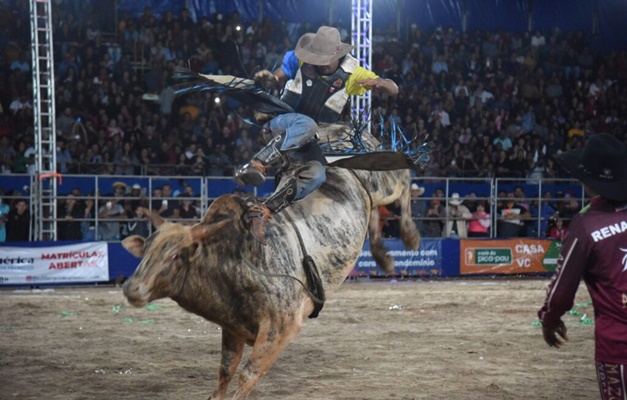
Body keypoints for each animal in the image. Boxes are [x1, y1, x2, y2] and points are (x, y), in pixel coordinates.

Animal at [122, 166, 420, 400]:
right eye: (145, 250)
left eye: (176, 255)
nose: (131, 288)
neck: (238, 257)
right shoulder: (233, 326)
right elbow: (225, 371)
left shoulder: (281, 326)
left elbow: (248, 374)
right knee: (376, 214)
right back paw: (384, 258)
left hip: (383, 182)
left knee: (404, 180)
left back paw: (410, 235)